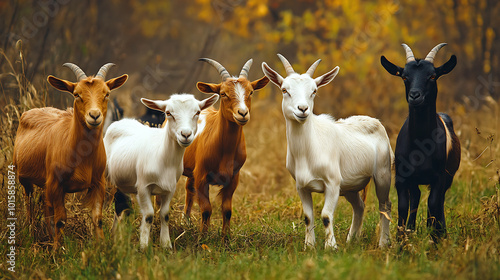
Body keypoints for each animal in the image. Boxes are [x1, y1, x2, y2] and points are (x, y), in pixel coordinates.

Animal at [13, 63, 128, 245]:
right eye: (76, 94)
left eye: (106, 94)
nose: (94, 116)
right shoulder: (56, 183)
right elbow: (60, 219)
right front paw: (57, 250)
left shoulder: (98, 183)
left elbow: (97, 218)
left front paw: (102, 246)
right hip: (24, 179)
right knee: (29, 203)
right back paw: (31, 235)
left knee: (45, 205)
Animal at [104, 93, 218, 248]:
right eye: (168, 113)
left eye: (197, 112)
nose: (186, 134)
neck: (163, 157)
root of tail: (121, 121)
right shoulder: (143, 187)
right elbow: (149, 216)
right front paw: (144, 246)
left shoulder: (170, 189)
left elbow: (165, 215)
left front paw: (166, 244)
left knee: (120, 205)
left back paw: (115, 234)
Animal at [184, 58, 270, 235]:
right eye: (223, 93)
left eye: (251, 92)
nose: (242, 113)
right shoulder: (201, 175)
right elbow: (206, 210)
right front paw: (203, 238)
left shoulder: (233, 178)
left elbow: (227, 210)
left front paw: (226, 238)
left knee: (188, 190)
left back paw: (186, 222)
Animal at [262, 55, 394, 249]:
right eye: (284, 90)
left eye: (314, 90)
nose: (303, 109)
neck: (307, 151)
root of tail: (376, 122)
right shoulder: (301, 186)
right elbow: (308, 217)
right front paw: (309, 246)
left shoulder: (332, 182)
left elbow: (325, 215)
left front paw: (330, 247)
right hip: (349, 186)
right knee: (359, 206)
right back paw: (351, 240)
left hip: (382, 172)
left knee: (385, 205)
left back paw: (383, 243)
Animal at [382, 43, 460, 241]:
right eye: (404, 76)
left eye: (432, 75)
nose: (415, 96)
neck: (421, 145)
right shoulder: (402, 177)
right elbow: (404, 205)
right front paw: (401, 241)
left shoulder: (439, 176)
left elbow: (433, 203)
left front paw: (435, 237)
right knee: (416, 198)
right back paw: (412, 229)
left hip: (448, 177)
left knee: (438, 202)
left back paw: (439, 232)